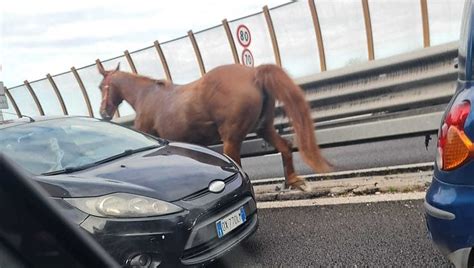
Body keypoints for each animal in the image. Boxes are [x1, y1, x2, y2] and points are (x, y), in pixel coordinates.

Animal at [97, 62, 332, 191]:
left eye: (100, 86)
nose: (103, 113)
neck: (146, 96)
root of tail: (253, 73)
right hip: (264, 127)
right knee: (285, 146)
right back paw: (295, 181)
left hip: (231, 139)